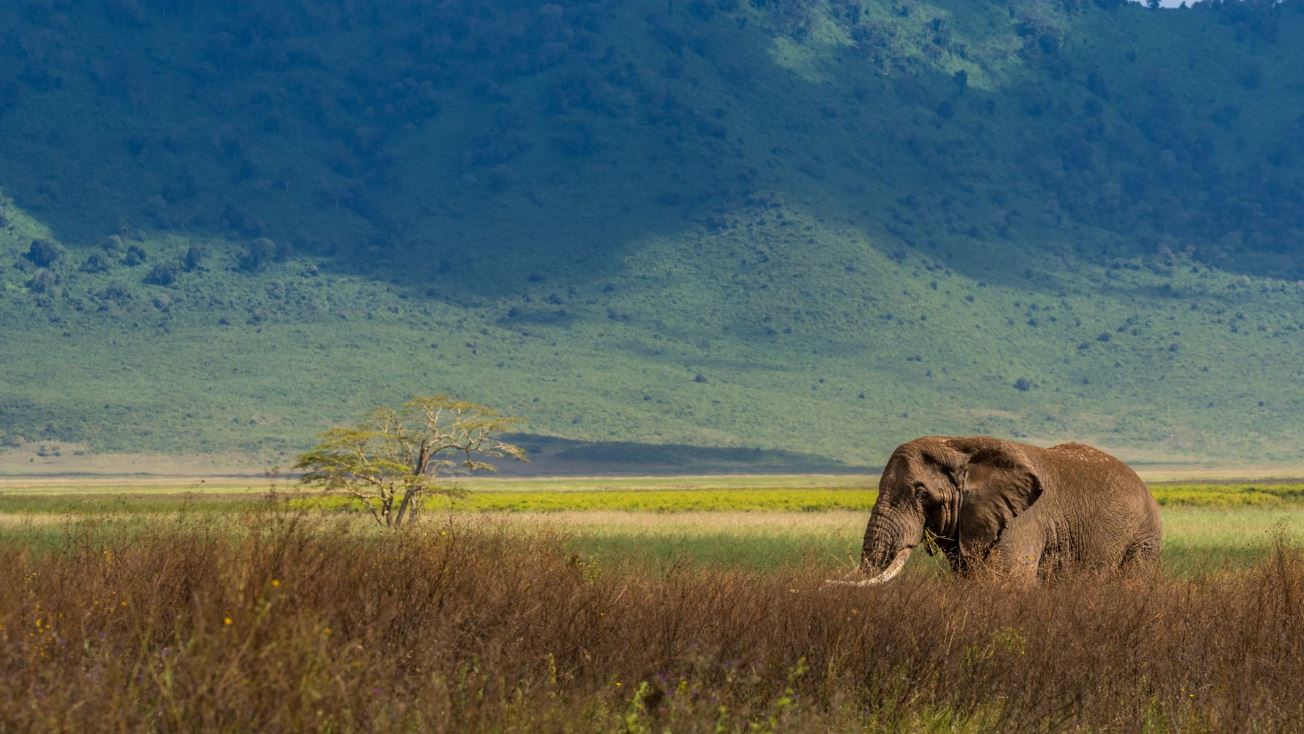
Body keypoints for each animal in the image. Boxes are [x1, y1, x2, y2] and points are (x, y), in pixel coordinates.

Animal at [832, 436, 1162, 585]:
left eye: (921, 493)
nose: (829, 583)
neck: (957, 446)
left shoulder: (1022, 522)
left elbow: (1006, 584)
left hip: (1143, 539)